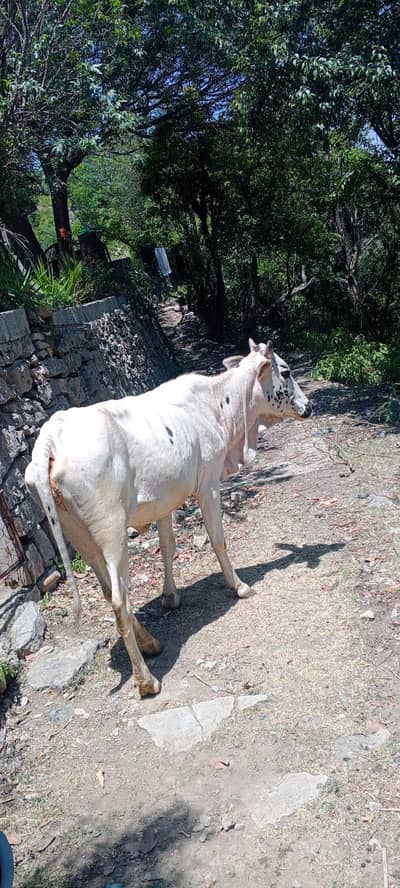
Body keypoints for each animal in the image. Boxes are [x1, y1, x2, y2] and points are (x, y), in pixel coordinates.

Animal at [25, 338, 311, 697]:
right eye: (285, 371)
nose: (308, 406)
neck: (220, 406)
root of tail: (52, 434)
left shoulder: (164, 501)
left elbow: (169, 546)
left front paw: (170, 596)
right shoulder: (208, 484)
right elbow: (218, 539)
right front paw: (239, 586)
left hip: (77, 534)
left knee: (108, 590)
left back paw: (150, 643)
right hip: (111, 531)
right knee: (119, 598)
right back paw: (146, 680)